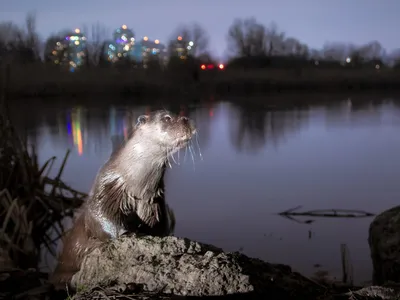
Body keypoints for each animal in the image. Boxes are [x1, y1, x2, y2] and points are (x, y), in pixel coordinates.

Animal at [50, 110, 196, 288]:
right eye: (167, 118)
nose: (186, 119)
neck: (136, 186)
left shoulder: (154, 203)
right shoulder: (106, 190)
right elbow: (100, 217)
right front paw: (127, 234)